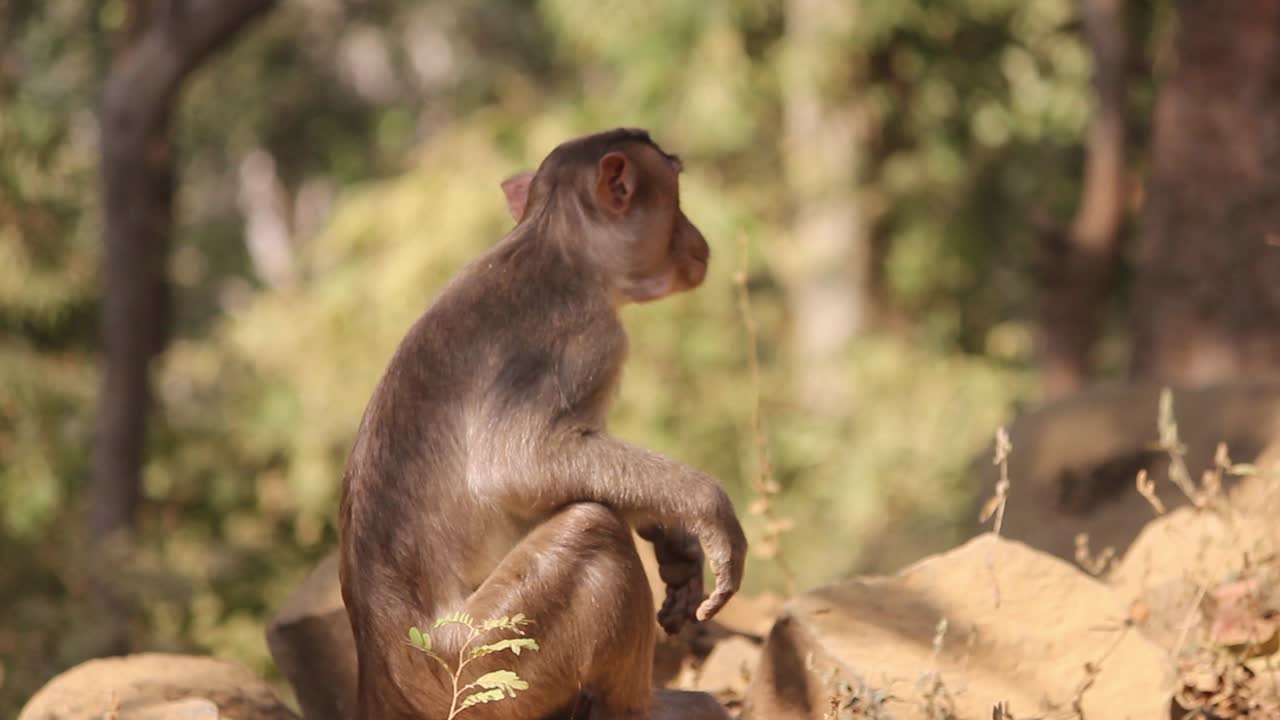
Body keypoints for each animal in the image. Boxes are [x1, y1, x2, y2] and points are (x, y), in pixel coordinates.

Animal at [338, 128, 747, 720]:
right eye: (675, 195)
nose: (697, 237)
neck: (555, 244)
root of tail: (379, 684)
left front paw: (675, 541)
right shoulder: (587, 339)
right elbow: (516, 464)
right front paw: (706, 508)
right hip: (484, 664)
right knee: (592, 532)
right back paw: (642, 708)